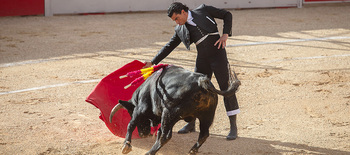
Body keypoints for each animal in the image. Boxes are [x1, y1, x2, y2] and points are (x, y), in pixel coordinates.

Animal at [110, 65, 241, 154]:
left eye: (130, 112)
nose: (143, 134)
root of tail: (202, 82)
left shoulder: (140, 110)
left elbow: (131, 124)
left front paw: (126, 146)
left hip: (169, 113)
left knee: (165, 136)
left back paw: (149, 152)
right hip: (206, 115)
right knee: (203, 134)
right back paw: (192, 151)